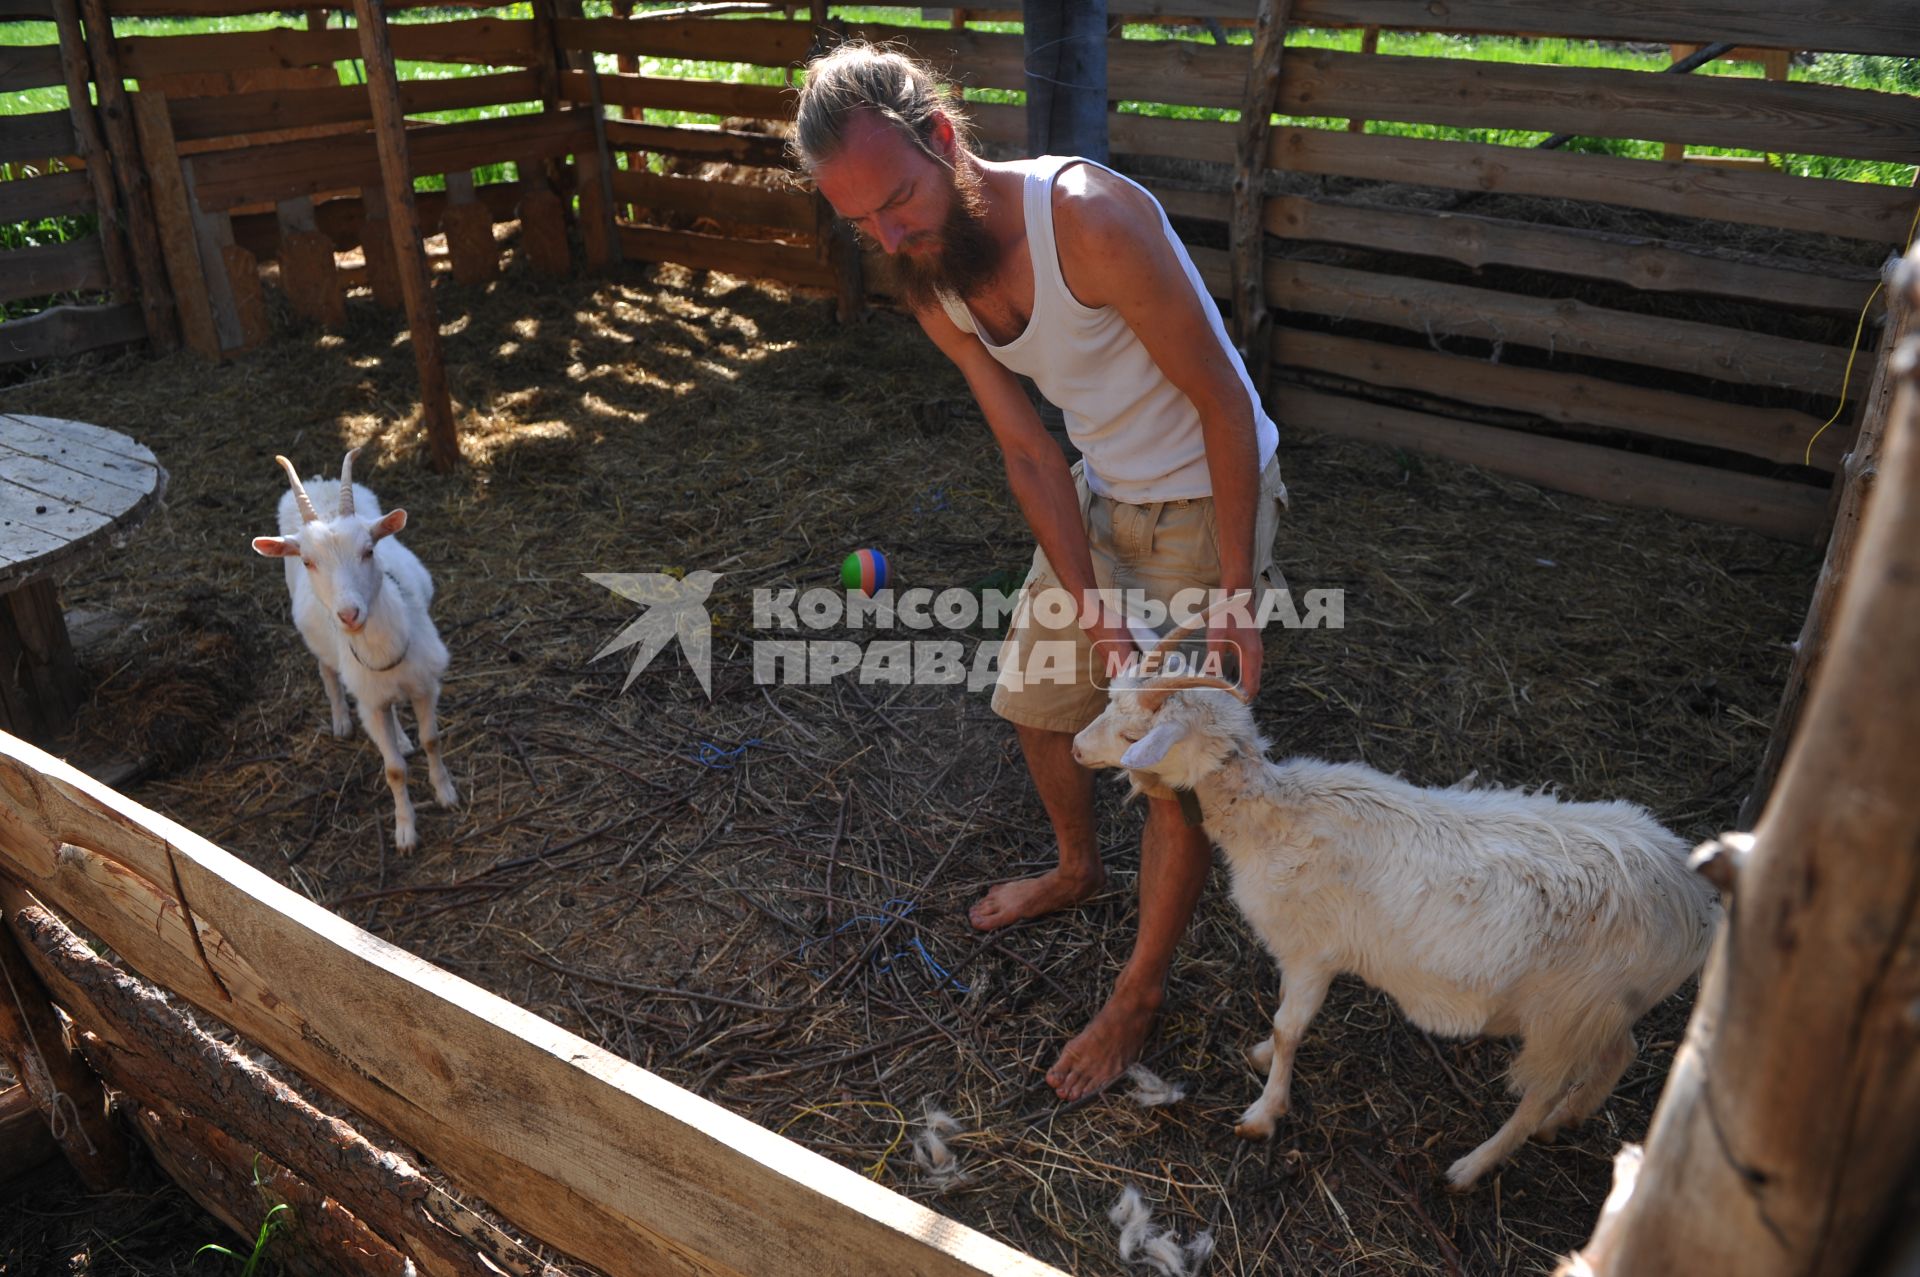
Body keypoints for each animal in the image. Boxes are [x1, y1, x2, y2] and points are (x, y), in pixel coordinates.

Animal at [253, 447, 458, 844]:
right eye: (308, 561)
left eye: (368, 550)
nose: (349, 614)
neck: (384, 650)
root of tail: (321, 482)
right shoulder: (368, 702)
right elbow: (394, 770)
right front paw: (405, 830)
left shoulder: (425, 683)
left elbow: (432, 740)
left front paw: (445, 793)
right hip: (319, 646)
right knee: (327, 671)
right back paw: (341, 721)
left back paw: (402, 738)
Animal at [1075, 595, 1720, 1182]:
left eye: (1132, 732)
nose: (1079, 748)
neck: (1277, 817)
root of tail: (1698, 905)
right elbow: (1280, 1021)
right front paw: (1257, 1056)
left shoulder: (1314, 952)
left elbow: (1290, 1028)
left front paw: (1263, 1113)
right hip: (1609, 1007)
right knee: (1622, 1053)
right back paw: (1568, 1120)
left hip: (1566, 1013)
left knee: (1539, 1092)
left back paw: (1474, 1166)